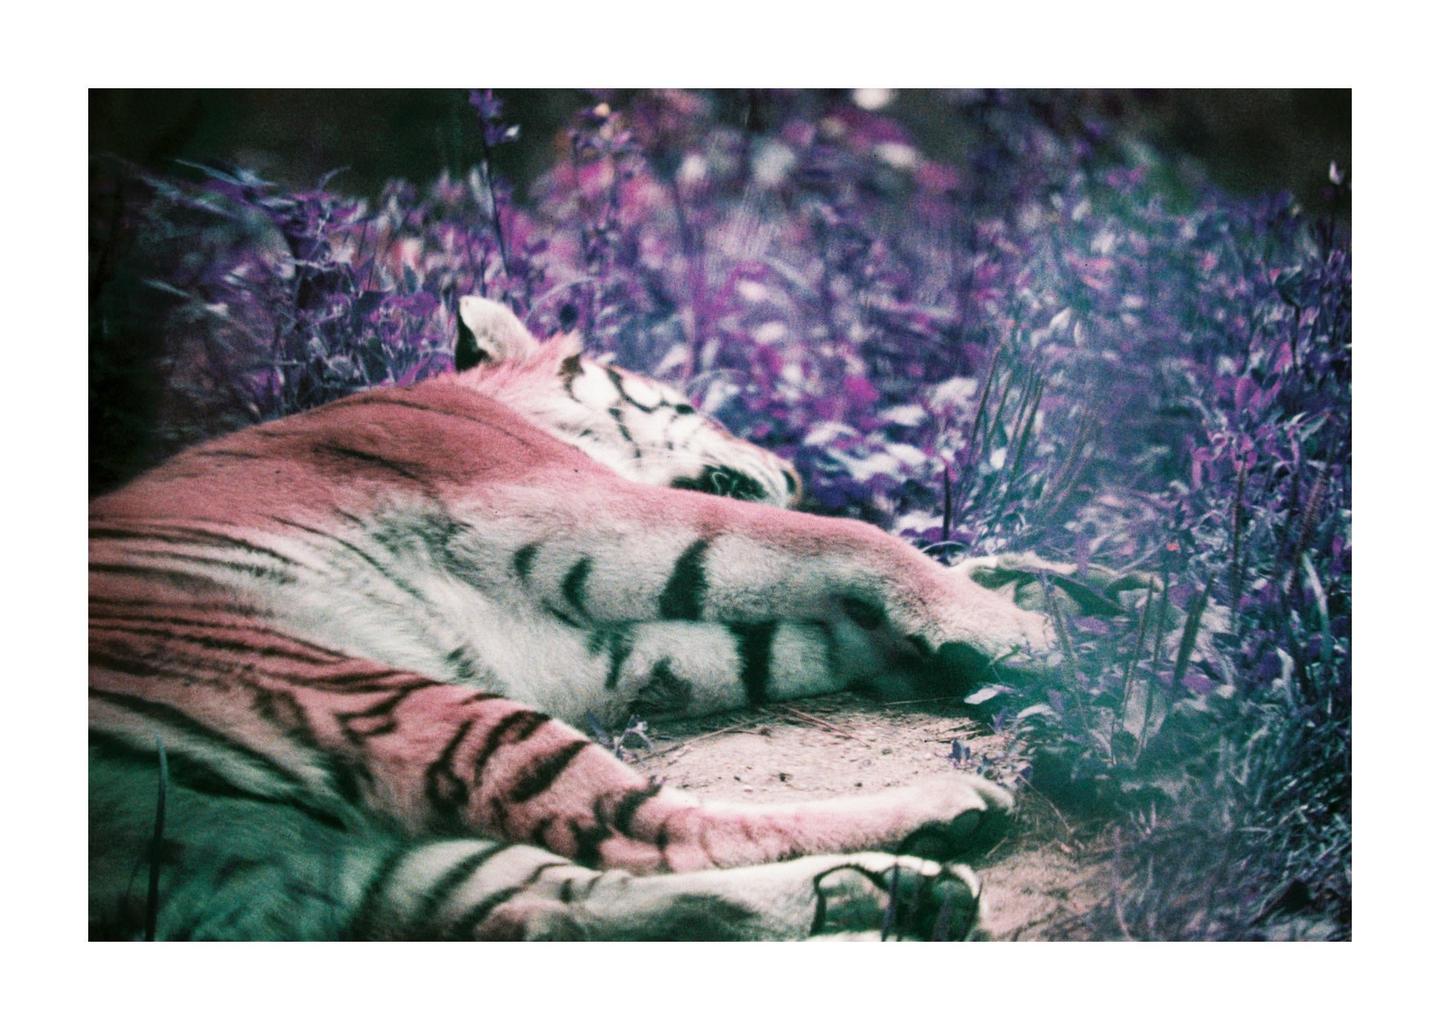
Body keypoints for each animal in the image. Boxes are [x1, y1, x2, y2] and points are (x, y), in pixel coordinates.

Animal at [89, 295, 1056, 941]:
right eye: (691, 406)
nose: (792, 469)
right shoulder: (586, 510)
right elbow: (851, 539)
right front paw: (1027, 634)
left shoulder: (601, 643)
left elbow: (801, 634)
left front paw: (1000, 613)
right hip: (392, 700)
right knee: (663, 836)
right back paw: (937, 825)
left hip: (357, 860)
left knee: (553, 907)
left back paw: (897, 892)